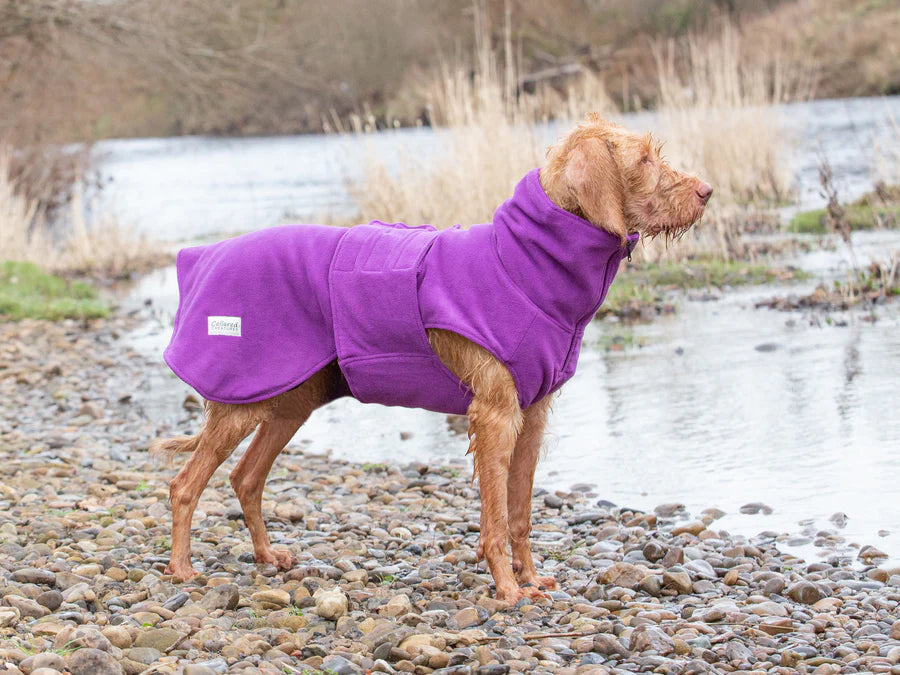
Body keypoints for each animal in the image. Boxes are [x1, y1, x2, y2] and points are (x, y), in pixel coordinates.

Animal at [153, 113, 712, 604]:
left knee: (245, 479)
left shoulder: (531, 417)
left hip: (290, 400)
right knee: (184, 485)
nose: (706, 191)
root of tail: (202, 254)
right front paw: (508, 590)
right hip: (241, 398)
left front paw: (531, 580)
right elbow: (494, 517)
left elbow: (520, 512)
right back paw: (181, 568)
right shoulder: (494, 415)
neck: (525, 264)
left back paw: (268, 557)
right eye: (644, 159)